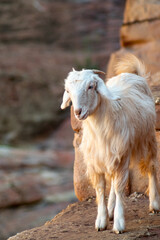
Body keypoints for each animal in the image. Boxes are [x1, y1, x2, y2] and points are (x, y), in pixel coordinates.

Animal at [60, 54, 159, 234]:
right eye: (68, 91)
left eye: (91, 86)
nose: (78, 112)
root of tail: (133, 75)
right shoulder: (97, 161)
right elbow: (100, 190)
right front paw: (102, 221)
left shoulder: (122, 156)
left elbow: (120, 188)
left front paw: (119, 225)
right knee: (113, 181)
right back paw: (111, 209)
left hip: (147, 138)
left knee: (152, 167)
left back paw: (154, 204)